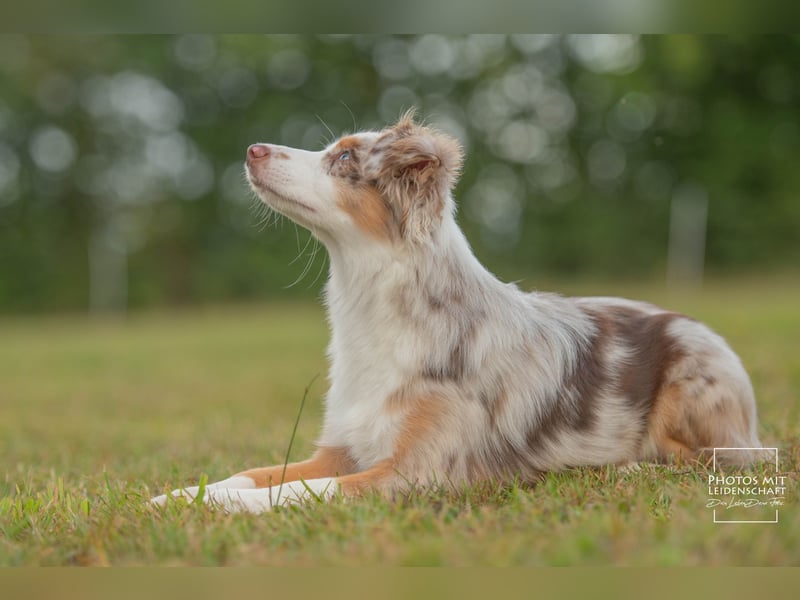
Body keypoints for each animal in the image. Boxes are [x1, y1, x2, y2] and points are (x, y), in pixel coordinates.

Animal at [148, 111, 764, 510]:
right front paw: (176, 495)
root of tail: (688, 319)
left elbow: (294, 491)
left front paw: (215, 508)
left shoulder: (420, 472)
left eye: (343, 157)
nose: (252, 150)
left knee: (703, 460)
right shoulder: (343, 449)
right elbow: (253, 473)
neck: (376, 312)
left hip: (695, 396)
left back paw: (626, 465)